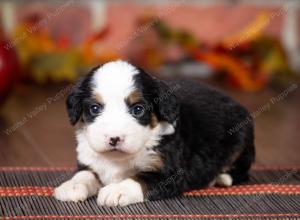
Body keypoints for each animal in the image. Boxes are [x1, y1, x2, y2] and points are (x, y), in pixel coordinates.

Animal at [54, 59, 255, 206]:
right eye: (94, 108)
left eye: (138, 109)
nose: (114, 139)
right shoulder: (89, 159)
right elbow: (85, 173)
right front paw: (72, 186)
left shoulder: (170, 173)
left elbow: (140, 178)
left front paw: (117, 190)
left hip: (241, 139)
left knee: (243, 168)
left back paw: (223, 177)